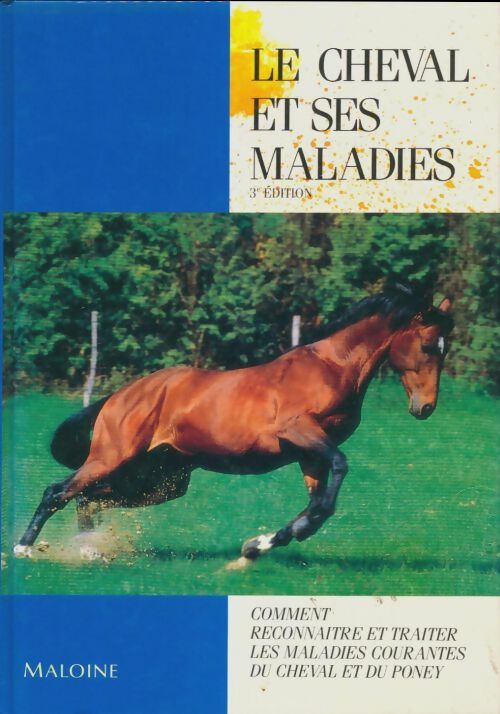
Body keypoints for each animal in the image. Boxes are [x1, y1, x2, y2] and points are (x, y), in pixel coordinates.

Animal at [14, 282, 453, 563]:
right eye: (428, 345)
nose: (426, 407)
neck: (332, 367)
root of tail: (121, 396)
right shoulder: (300, 432)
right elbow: (339, 471)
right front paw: (270, 542)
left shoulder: (309, 454)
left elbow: (317, 504)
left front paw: (260, 545)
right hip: (114, 457)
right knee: (59, 491)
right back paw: (25, 548)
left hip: (160, 478)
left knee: (88, 497)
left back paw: (89, 547)